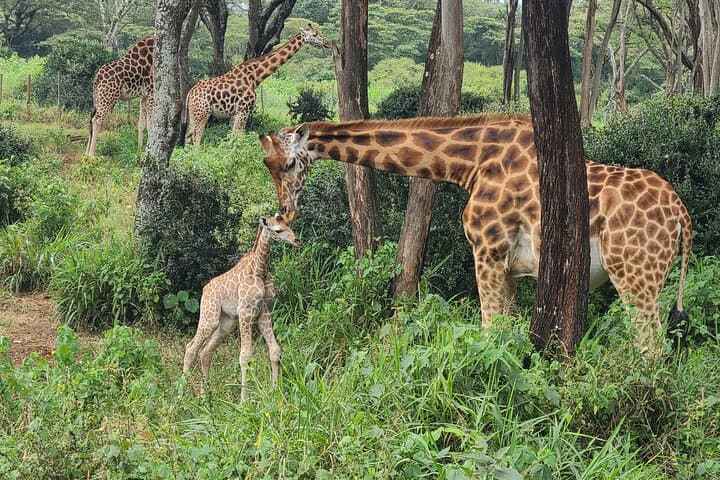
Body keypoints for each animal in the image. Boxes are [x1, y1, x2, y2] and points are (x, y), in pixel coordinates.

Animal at [182, 25, 329, 146]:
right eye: (315, 34)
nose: (326, 43)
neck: (254, 77)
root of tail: (190, 93)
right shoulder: (243, 110)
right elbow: (239, 136)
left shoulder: (236, 113)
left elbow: (232, 137)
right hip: (203, 114)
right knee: (196, 138)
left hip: (193, 114)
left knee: (187, 137)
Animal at [182, 214, 301, 398]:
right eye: (278, 230)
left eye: (289, 226)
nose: (297, 241)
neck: (259, 271)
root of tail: (205, 290)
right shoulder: (245, 311)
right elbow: (245, 356)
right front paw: (244, 400)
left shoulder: (263, 311)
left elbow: (275, 350)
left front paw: (275, 392)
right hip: (210, 317)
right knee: (190, 348)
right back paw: (180, 394)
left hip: (226, 323)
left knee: (205, 351)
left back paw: (205, 396)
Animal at [259, 114, 693, 355]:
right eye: (268, 165)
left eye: (289, 163)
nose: (286, 212)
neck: (470, 162)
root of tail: (682, 217)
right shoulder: (512, 268)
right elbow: (505, 332)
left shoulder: (487, 250)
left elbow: (489, 330)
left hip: (635, 274)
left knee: (651, 349)